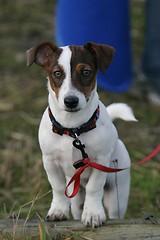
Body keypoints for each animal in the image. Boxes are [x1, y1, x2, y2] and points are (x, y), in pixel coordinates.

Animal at [26, 41, 136, 227]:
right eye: (57, 73)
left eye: (86, 72)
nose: (71, 101)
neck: (73, 130)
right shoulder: (49, 161)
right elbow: (57, 187)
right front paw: (58, 210)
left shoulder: (99, 161)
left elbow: (94, 187)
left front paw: (93, 213)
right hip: (76, 193)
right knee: (77, 207)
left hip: (117, 192)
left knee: (115, 210)